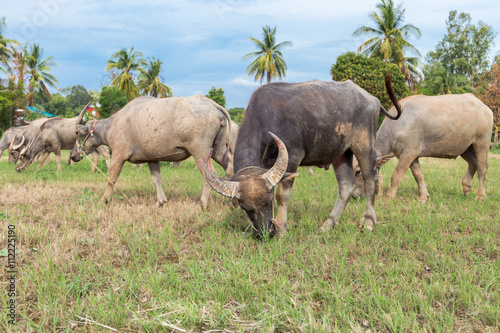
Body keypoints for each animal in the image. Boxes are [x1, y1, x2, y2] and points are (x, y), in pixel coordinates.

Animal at [70, 94, 236, 206]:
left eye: (77, 133)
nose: (72, 155)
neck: (113, 125)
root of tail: (212, 104)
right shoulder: (152, 159)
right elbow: (156, 178)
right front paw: (161, 201)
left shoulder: (118, 156)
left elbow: (111, 180)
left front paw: (103, 200)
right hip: (218, 149)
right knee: (229, 167)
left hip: (200, 151)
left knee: (210, 173)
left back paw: (203, 203)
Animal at [203, 75, 402, 236]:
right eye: (245, 207)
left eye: (269, 201)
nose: (266, 232)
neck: (267, 118)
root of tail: (374, 100)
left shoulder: (292, 158)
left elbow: (283, 195)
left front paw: (282, 228)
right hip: (341, 154)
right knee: (347, 186)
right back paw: (327, 225)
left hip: (364, 146)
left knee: (370, 180)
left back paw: (368, 222)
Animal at [352, 94, 492, 201]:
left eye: (358, 171)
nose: (354, 195)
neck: (397, 127)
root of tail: (484, 107)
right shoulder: (413, 156)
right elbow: (418, 175)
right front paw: (424, 197)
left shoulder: (409, 152)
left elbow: (397, 174)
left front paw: (388, 197)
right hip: (465, 146)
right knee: (473, 163)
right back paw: (466, 187)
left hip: (481, 142)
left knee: (482, 167)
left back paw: (480, 195)